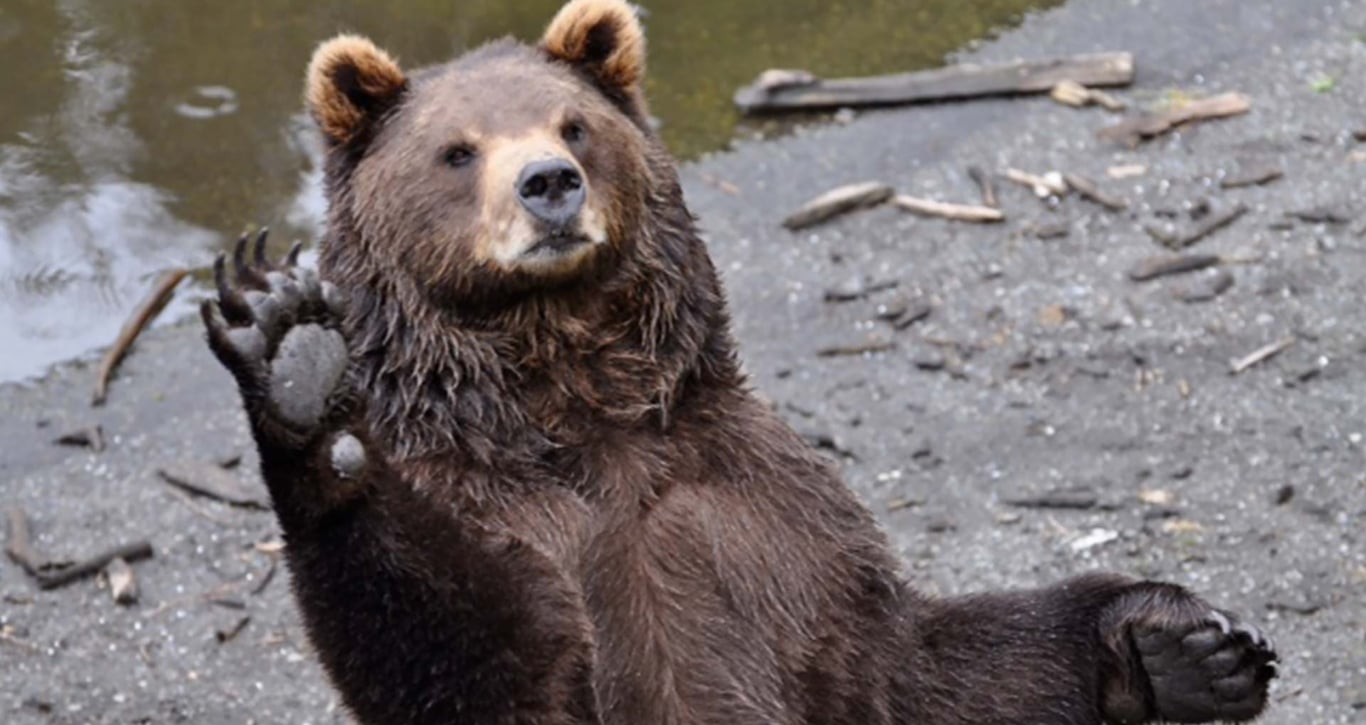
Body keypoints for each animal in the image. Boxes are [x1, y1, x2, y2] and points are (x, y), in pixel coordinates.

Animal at [202, 2, 1278, 720]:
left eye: (572, 124)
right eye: (457, 150)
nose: (550, 183)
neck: (581, 409)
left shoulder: (766, 524)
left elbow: (923, 667)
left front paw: (1181, 644)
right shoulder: (505, 519)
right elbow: (464, 644)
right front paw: (299, 367)